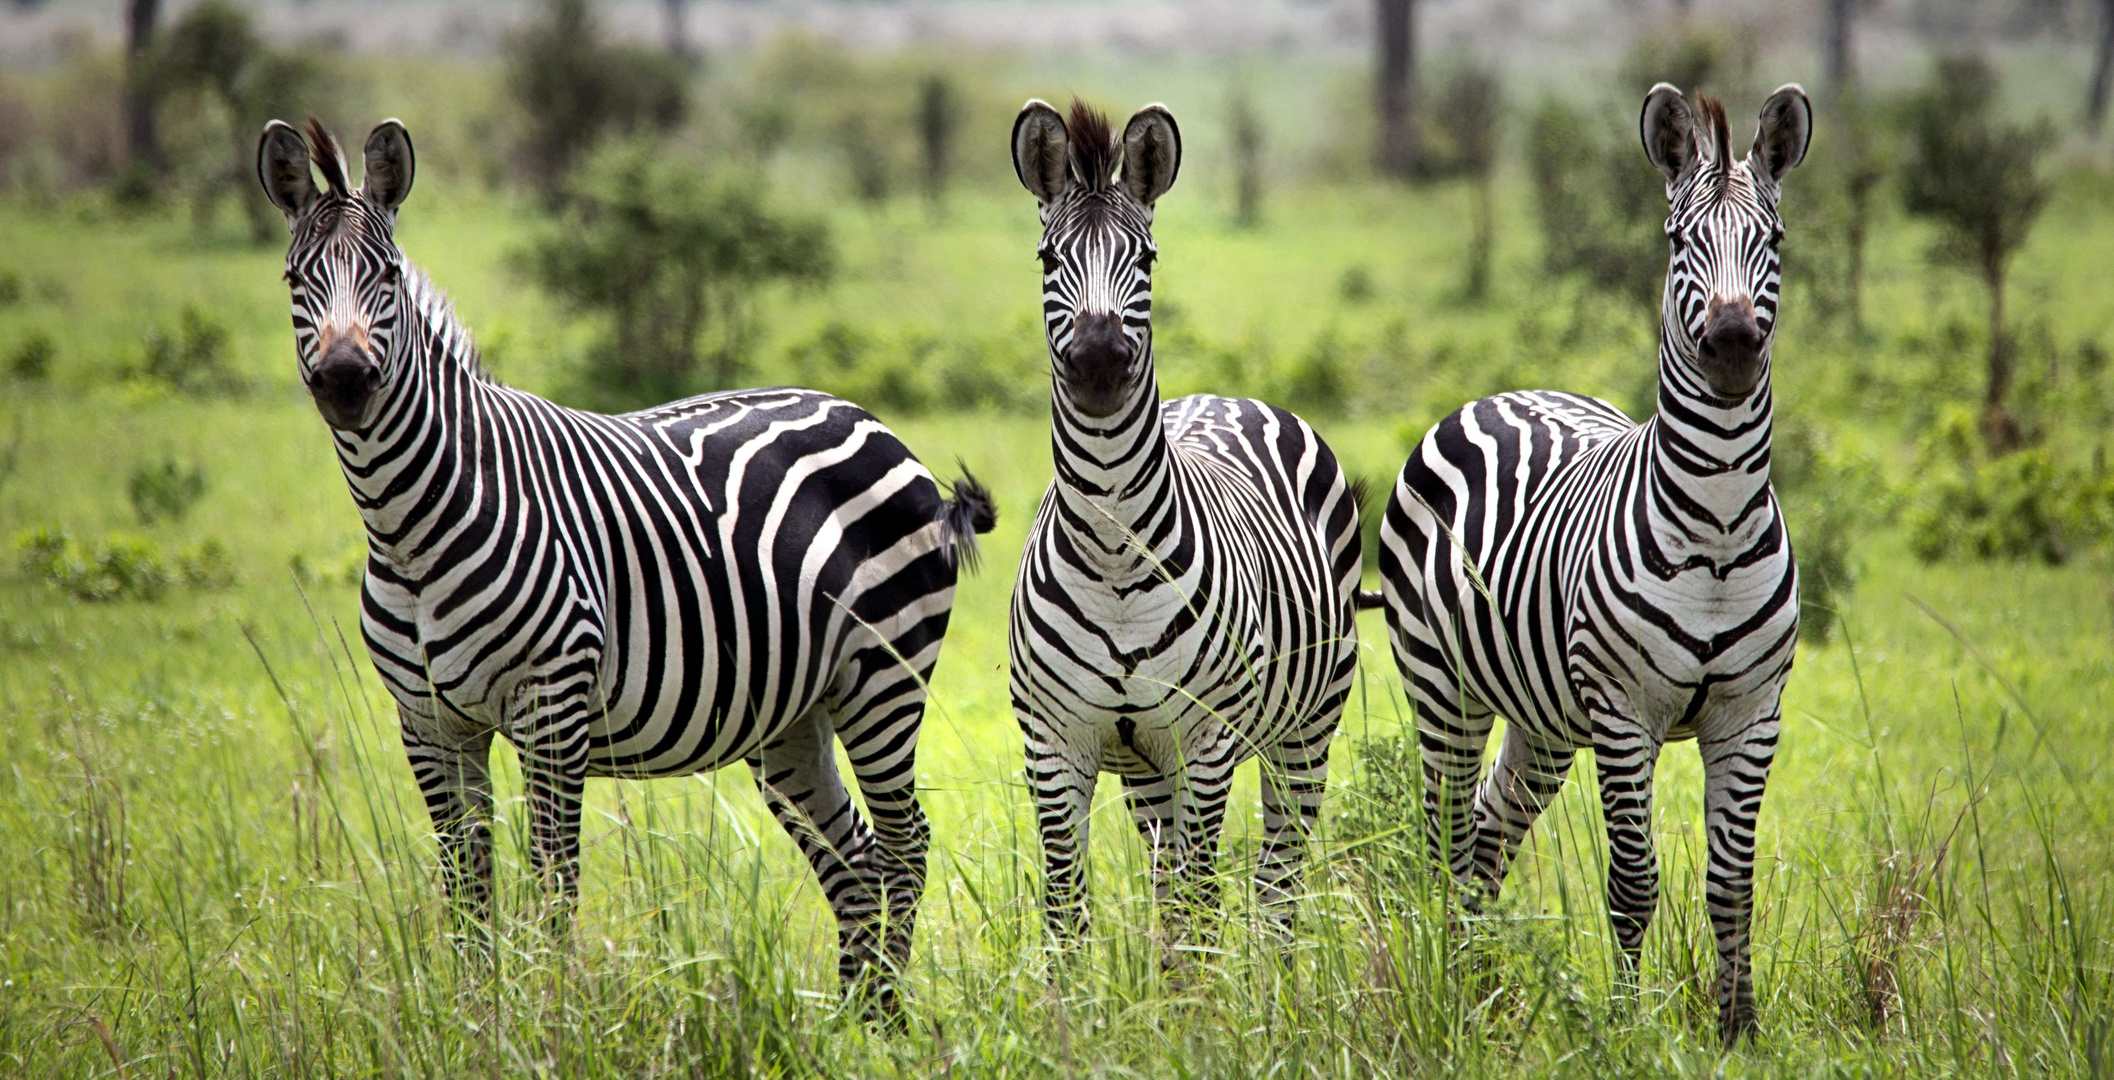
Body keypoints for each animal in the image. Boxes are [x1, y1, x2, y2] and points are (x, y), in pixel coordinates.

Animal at [255, 118, 997, 1014]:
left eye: (388, 277)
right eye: (296, 278)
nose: (344, 381)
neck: (408, 526)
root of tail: (869, 417)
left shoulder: (553, 705)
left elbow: (553, 887)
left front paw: (547, 1016)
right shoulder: (429, 722)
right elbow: (467, 891)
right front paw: (475, 1016)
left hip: (884, 676)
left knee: (904, 841)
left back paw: (884, 1014)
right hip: (794, 710)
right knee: (855, 857)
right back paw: (852, 1023)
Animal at [1010, 99, 1369, 946]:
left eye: (1145, 259)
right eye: (1047, 259)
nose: (1099, 361)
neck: (1113, 548)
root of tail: (1227, 395)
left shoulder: (1205, 745)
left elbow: (1206, 907)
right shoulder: (1054, 745)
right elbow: (1068, 912)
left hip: (1304, 736)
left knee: (1275, 889)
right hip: (1149, 774)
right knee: (1172, 886)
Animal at [1378, 84, 1809, 1039]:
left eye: (1772, 241)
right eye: (1680, 242)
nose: (1732, 346)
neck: (1715, 530)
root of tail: (1502, 394)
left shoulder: (1751, 714)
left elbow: (1732, 885)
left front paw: (1739, 1027)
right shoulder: (1623, 711)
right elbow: (1633, 882)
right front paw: (1626, 1022)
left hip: (1542, 719)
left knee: (1489, 835)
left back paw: (1482, 988)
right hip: (1444, 687)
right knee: (1445, 838)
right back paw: (1448, 986)